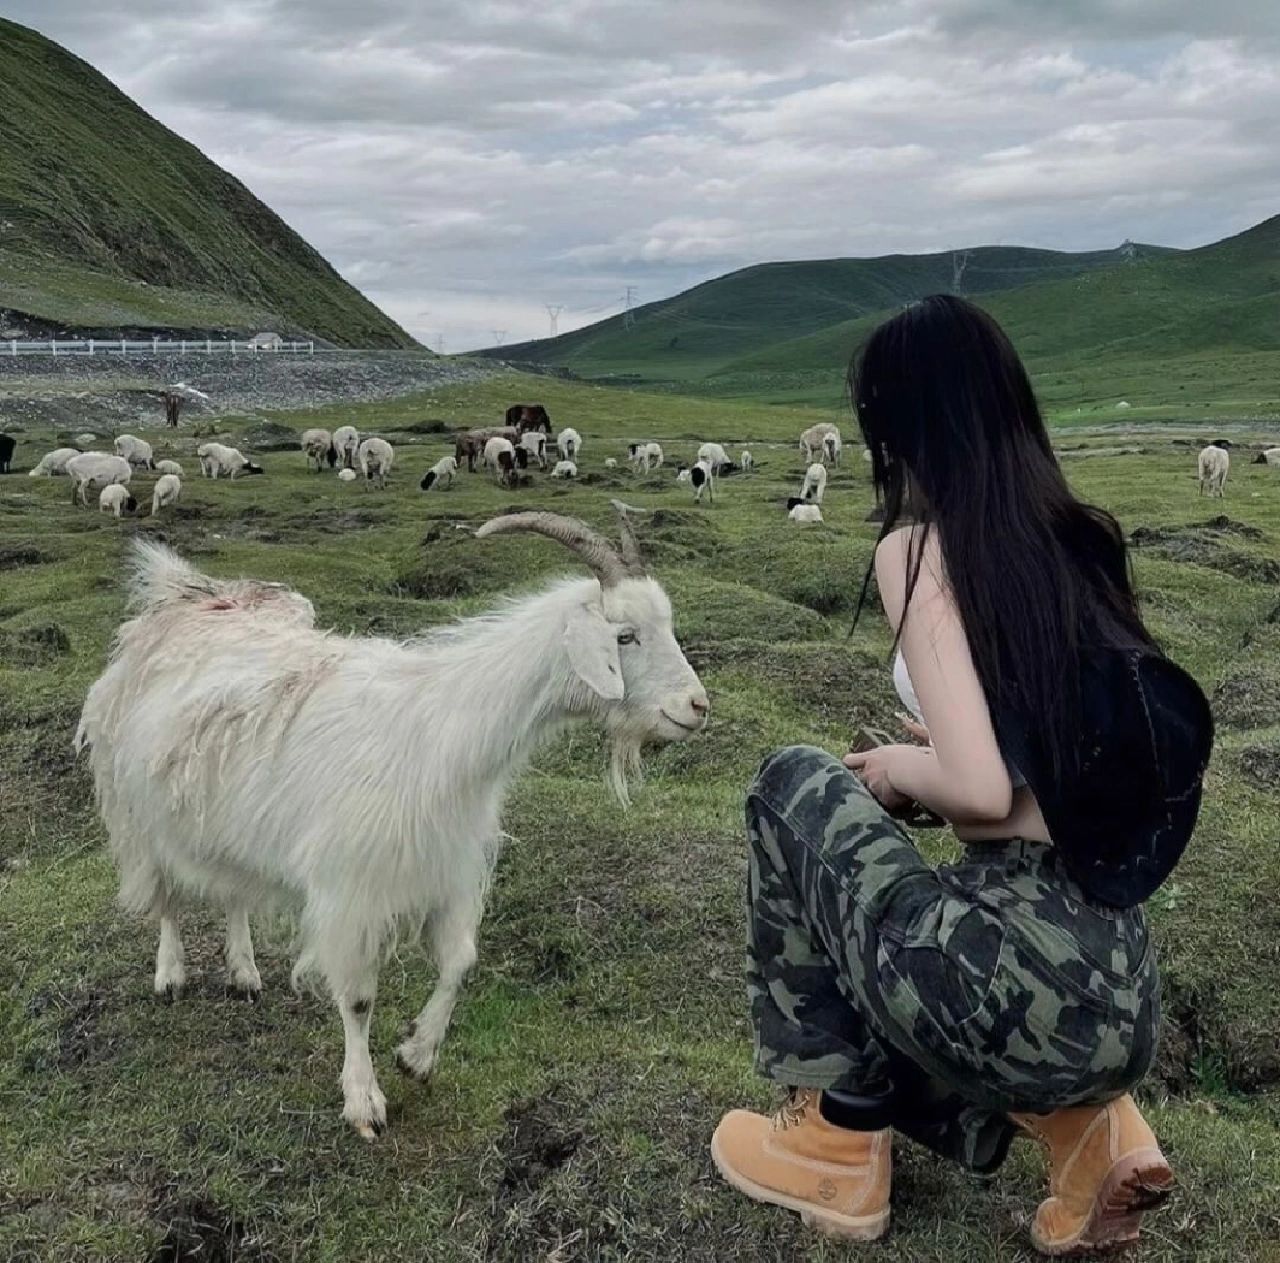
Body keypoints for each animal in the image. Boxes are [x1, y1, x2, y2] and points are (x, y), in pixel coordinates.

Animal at [77, 509, 711, 1141]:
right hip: (136, 809)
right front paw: (364, 1100)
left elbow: (460, 963)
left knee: (234, 891)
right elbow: (358, 998)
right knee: (165, 895)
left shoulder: (445, 871)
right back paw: (171, 974)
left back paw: (244, 970)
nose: (698, 706)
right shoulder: (353, 891)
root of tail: (180, 597)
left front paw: (417, 1054)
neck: (439, 732)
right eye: (625, 636)